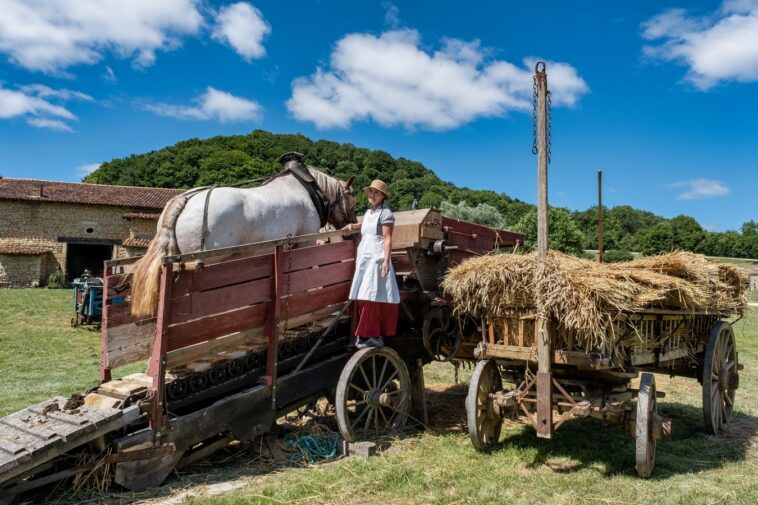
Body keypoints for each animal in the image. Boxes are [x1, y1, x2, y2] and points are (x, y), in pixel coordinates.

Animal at [129, 154, 358, 316]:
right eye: (353, 199)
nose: (351, 228)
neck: (309, 190)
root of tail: (184, 200)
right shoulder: (306, 240)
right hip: (208, 260)